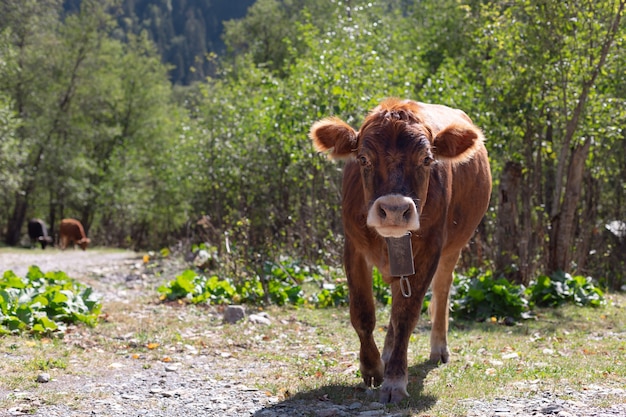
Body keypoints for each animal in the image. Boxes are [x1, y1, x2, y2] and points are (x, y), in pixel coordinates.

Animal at [310, 98, 490, 404]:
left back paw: (437, 348)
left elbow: (407, 315)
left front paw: (395, 379)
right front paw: (372, 367)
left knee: (441, 292)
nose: (394, 210)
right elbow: (363, 313)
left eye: (427, 159)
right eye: (363, 159)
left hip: (454, 247)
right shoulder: (353, 247)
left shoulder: (430, 249)